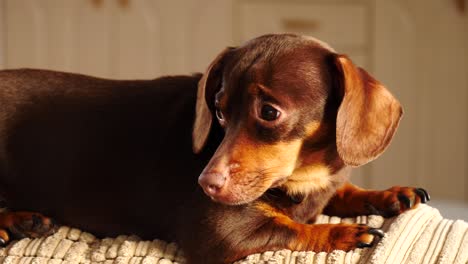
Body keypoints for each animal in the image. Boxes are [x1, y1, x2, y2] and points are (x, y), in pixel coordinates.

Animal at [0, 34, 428, 262]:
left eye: (269, 112)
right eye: (219, 111)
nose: (206, 185)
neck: (301, 177)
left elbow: (343, 193)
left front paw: (389, 194)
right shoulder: (219, 234)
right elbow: (289, 227)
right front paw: (343, 234)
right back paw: (12, 224)